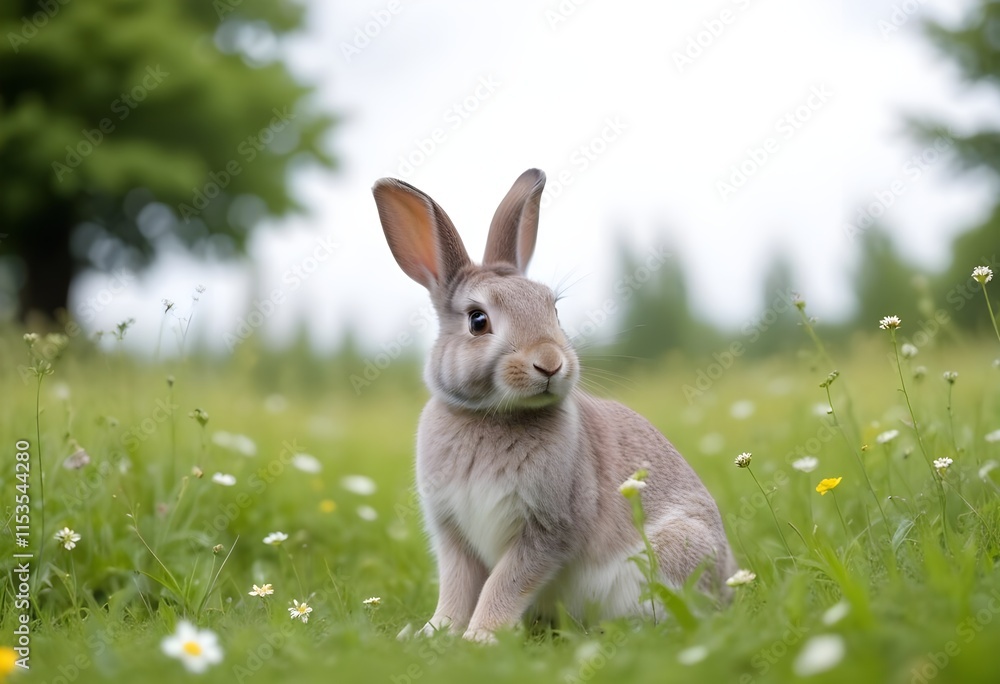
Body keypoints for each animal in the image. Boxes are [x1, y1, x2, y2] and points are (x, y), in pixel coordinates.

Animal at [372, 168, 736, 642]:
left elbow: (505, 583)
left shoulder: (548, 528)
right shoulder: (453, 533)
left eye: (554, 311)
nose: (549, 362)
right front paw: (435, 633)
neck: (492, 415)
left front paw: (480, 637)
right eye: (477, 321)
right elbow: (457, 587)